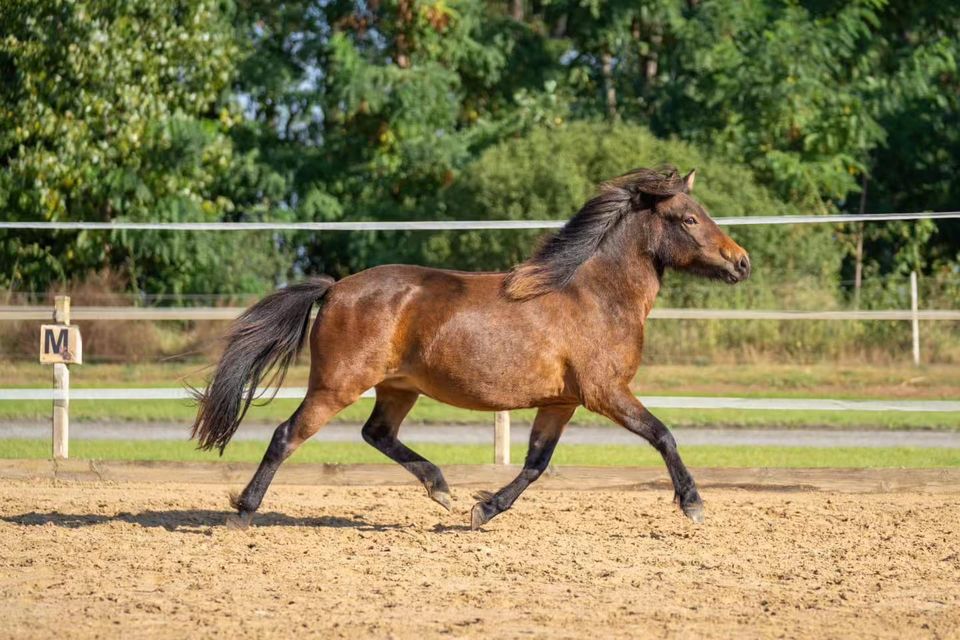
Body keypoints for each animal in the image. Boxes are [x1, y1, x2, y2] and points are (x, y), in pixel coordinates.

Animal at [191, 168, 752, 528]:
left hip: (398, 388)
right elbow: (663, 435)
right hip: (337, 385)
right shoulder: (605, 393)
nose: (741, 262)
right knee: (287, 435)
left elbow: (535, 464)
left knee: (377, 434)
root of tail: (334, 288)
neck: (594, 295)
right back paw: (243, 512)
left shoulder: (561, 402)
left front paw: (482, 509)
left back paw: (441, 489)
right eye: (688, 219)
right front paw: (693, 504)